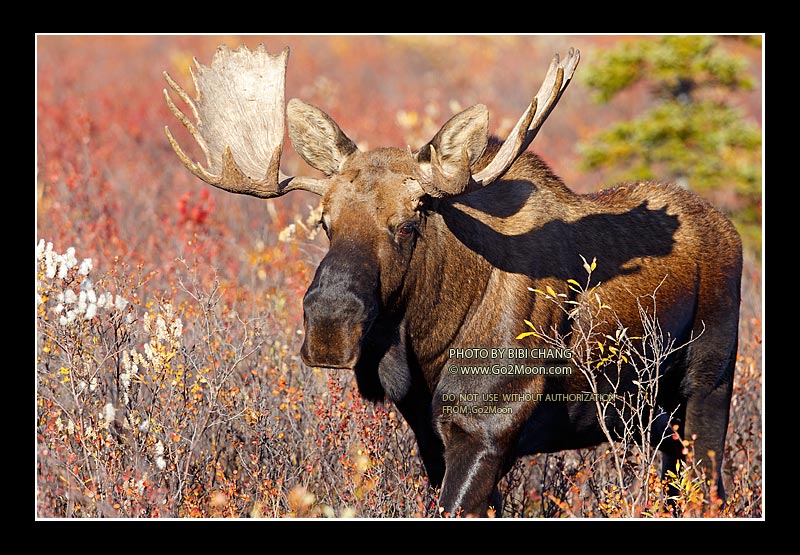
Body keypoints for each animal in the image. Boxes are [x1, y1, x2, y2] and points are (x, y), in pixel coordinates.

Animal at [163, 44, 742, 517]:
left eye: (410, 220)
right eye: (324, 221)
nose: (329, 324)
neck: (426, 347)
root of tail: (730, 232)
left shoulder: (487, 426)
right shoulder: (431, 436)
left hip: (706, 388)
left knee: (707, 487)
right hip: (655, 424)